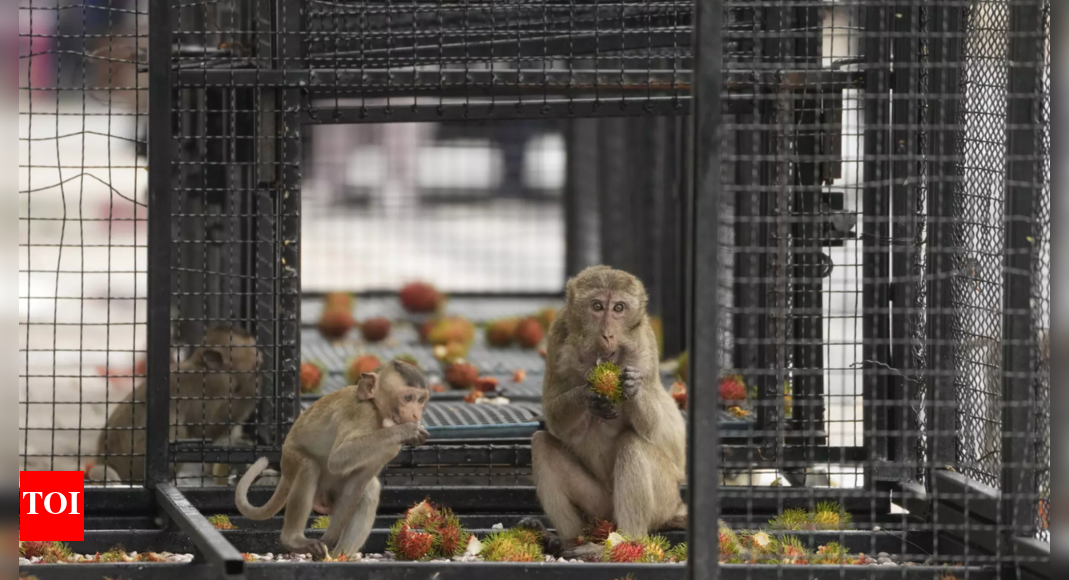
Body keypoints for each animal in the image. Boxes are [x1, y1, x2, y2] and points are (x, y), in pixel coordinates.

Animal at [87, 326, 262, 484]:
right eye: (252, 349)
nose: (260, 354)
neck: (202, 366)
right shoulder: (216, 383)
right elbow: (202, 429)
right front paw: (253, 385)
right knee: (179, 431)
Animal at [235, 360, 431, 558]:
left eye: (421, 400)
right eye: (407, 398)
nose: (416, 415)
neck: (378, 413)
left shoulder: (391, 448)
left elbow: (359, 480)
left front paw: (329, 540)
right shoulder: (362, 413)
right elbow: (338, 459)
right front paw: (406, 430)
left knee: (369, 490)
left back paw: (341, 556)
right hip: (289, 460)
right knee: (308, 467)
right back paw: (293, 540)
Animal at [523, 266, 687, 559]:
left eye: (619, 308)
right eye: (597, 306)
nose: (608, 335)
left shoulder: (645, 348)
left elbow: (654, 427)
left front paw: (633, 388)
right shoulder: (557, 334)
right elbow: (554, 416)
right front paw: (588, 395)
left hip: (665, 498)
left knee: (632, 443)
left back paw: (626, 542)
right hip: (599, 506)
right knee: (542, 444)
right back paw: (568, 541)